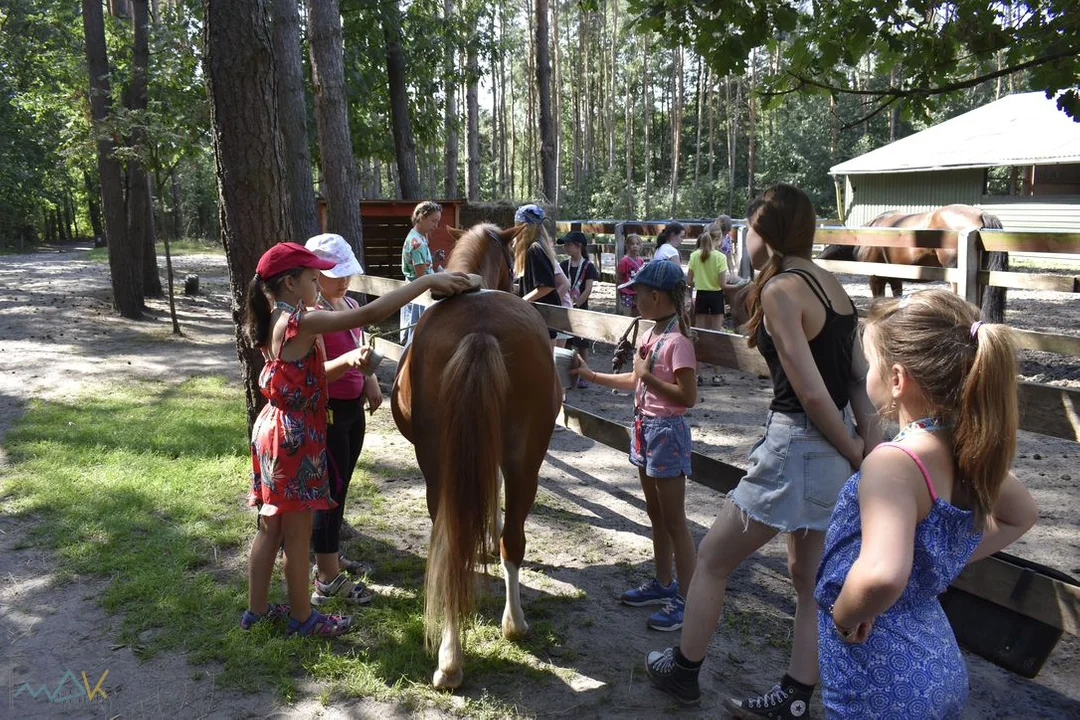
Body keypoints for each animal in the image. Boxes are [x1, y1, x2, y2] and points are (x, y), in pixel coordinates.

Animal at [390, 222, 561, 690]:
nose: (518, 282)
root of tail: (481, 330)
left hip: (440, 466)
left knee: (455, 544)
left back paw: (453, 657)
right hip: (523, 461)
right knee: (510, 540)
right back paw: (506, 628)